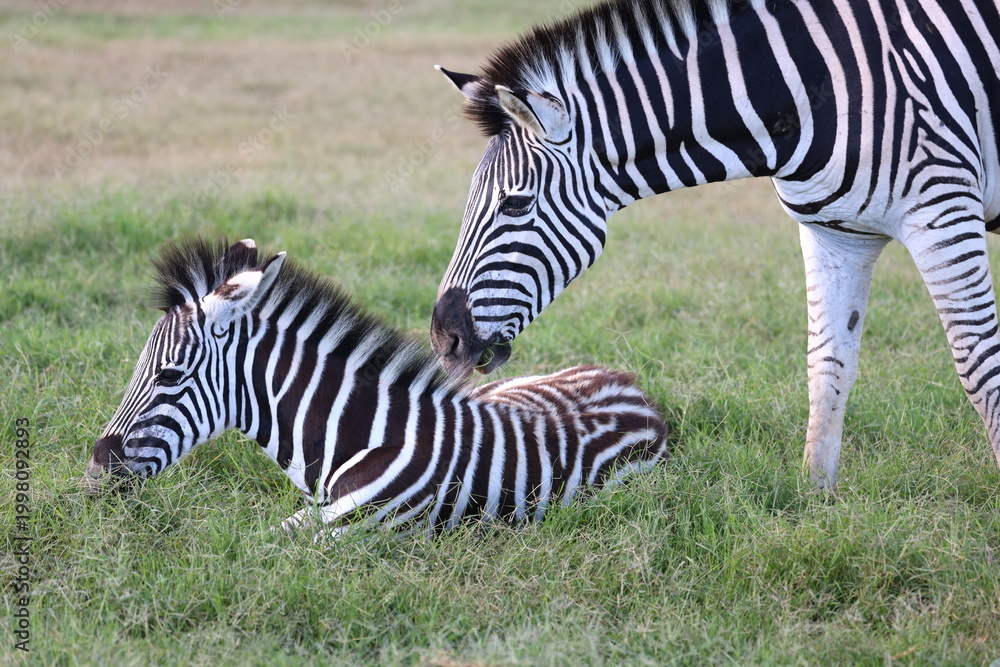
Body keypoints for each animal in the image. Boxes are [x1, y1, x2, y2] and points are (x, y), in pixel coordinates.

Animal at [83, 238, 668, 536]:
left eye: (168, 375)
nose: (93, 477)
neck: (359, 434)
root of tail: (634, 390)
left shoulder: (352, 532)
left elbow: (261, 550)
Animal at [428, 0, 1000, 488]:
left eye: (515, 204)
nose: (442, 339)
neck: (809, 90)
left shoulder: (940, 205)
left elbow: (979, 363)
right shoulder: (836, 233)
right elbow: (827, 363)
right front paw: (817, 497)